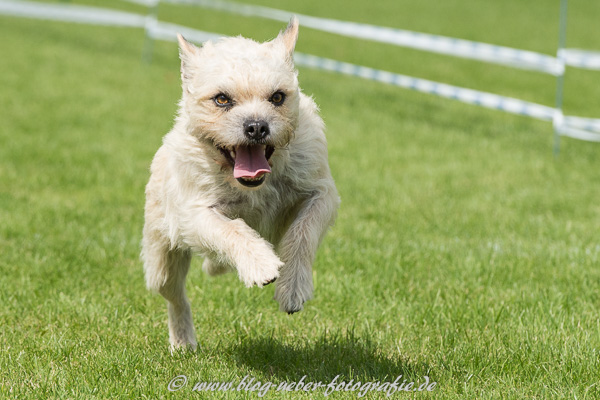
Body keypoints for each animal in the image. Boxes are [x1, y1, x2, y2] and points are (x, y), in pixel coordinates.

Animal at [139, 18, 338, 350]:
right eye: (222, 99)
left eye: (277, 97)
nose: (257, 127)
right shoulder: (195, 213)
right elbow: (231, 230)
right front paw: (260, 265)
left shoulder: (321, 193)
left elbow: (302, 233)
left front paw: (292, 287)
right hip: (161, 261)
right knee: (176, 298)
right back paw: (183, 341)